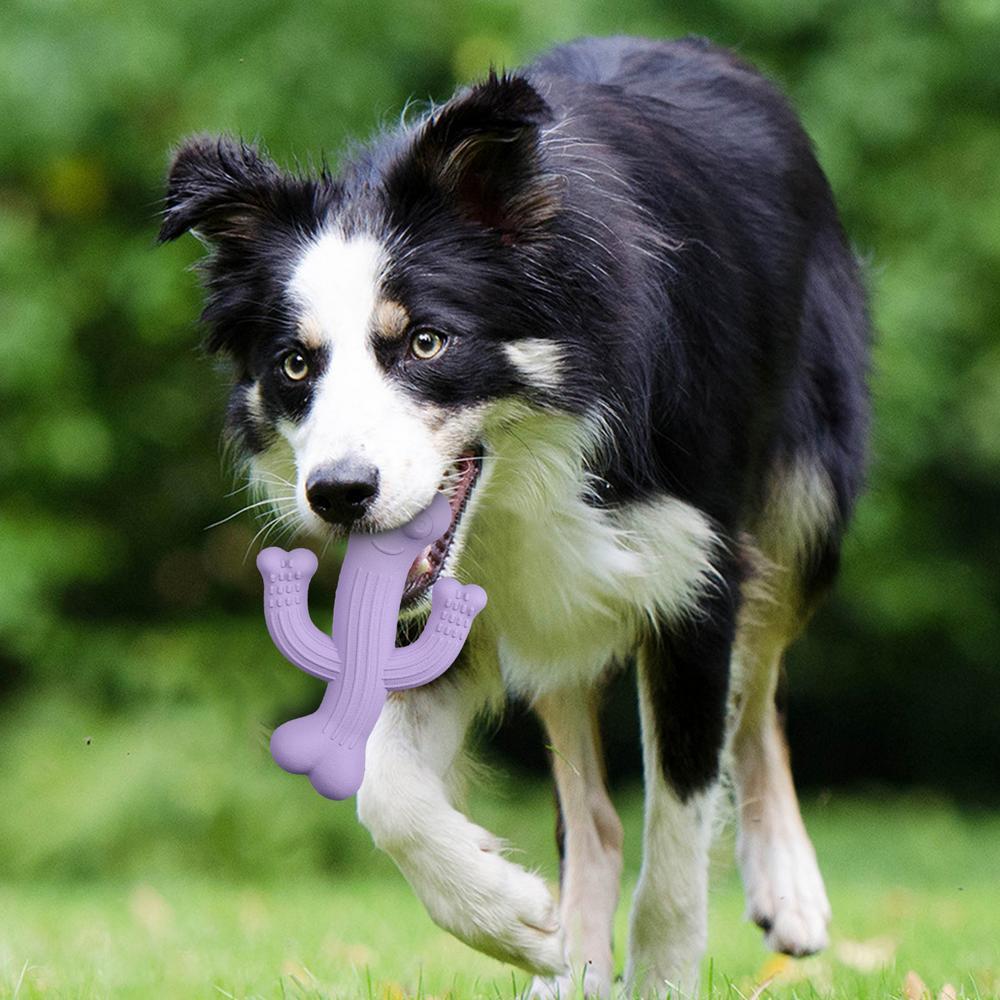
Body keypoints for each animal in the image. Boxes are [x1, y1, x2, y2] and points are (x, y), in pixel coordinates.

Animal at [158, 35, 868, 996]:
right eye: (296, 365)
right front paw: (510, 919)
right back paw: (570, 964)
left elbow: (678, 842)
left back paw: (787, 884)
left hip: (805, 500)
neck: (540, 460)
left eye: (426, 342)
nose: (338, 494)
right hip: (556, 606)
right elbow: (384, 789)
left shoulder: (697, 577)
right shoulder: (454, 605)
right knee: (596, 811)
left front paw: (661, 975)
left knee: (758, 690)